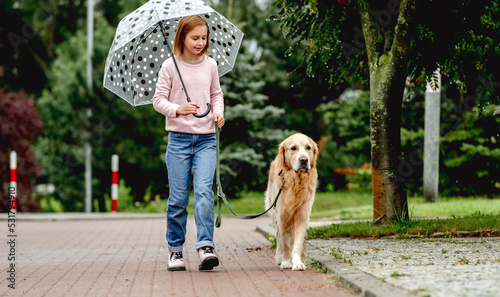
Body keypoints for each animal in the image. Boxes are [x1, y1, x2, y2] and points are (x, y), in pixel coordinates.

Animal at [266, 133, 316, 270]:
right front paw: (287, 261)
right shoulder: (282, 215)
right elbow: (285, 243)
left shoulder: (302, 215)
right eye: (293, 148)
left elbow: (297, 243)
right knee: (278, 237)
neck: (296, 182)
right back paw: (279, 257)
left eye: (308, 148)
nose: (304, 160)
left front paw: (297, 262)